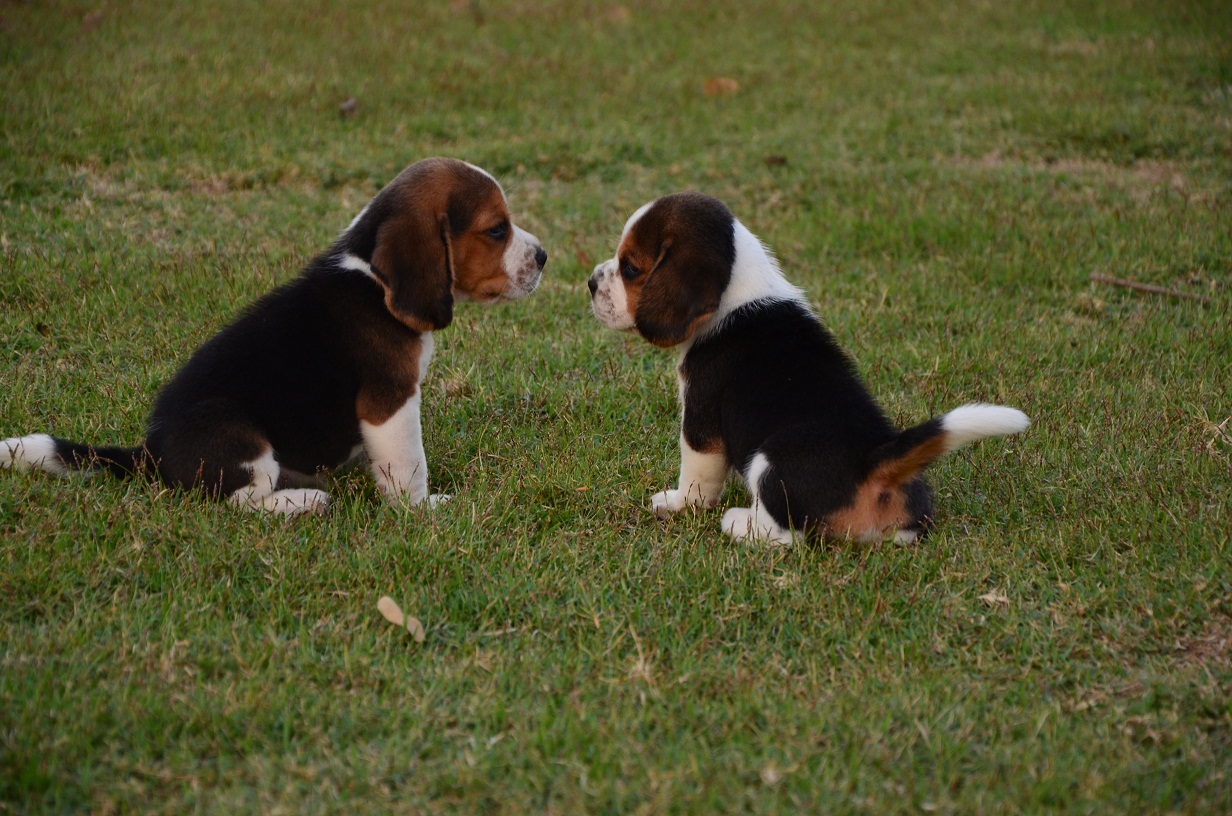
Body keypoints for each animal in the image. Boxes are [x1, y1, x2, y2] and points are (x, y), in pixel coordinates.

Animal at [2, 157, 547, 515]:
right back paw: (305, 499)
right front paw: (424, 510)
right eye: (496, 230)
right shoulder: (390, 401)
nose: (543, 256)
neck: (372, 278)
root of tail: (149, 453)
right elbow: (410, 465)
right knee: (240, 503)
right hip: (238, 434)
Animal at [588, 191, 1027, 544]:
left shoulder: (700, 417)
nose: (591, 282)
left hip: (769, 462)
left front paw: (679, 503)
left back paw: (739, 523)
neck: (739, 292)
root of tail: (874, 459)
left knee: (789, 535)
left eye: (630, 268)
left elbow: (697, 473)